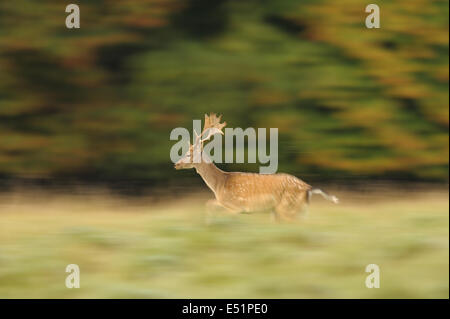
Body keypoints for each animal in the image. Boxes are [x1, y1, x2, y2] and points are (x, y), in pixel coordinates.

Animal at [174, 114, 340, 221]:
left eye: (188, 154)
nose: (176, 164)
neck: (219, 185)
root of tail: (308, 188)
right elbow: (208, 204)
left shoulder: (237, 206)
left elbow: (216, 210)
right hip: (292, 209)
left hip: (286, 206)